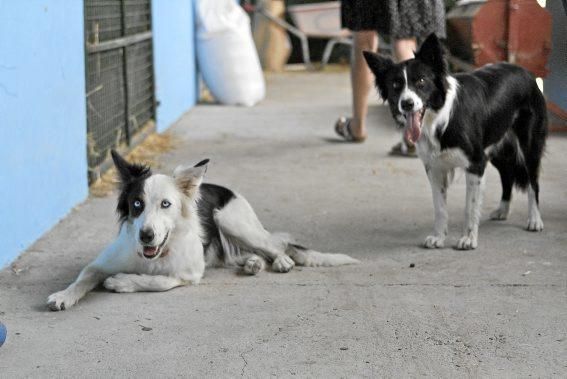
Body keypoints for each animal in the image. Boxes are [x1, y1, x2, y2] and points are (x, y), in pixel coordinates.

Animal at [48, 151, 360, 312]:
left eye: (166, 204)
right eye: (136, 204)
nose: (146, 236)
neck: (155, 256)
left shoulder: (189, 273)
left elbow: (158, 281)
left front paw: (122, 282)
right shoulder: (101, 262)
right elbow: (84, 277)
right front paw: (64, 295)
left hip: (231, 220)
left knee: (275, 246)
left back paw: (280, 260)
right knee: (248, 253)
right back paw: (253, 263)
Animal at [366, 34, 548, 251]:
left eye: (421, 81)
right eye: (395, 85)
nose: (407, 104)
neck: (438, 119)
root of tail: (526, 72)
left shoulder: (475, 164)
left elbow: (470, 207)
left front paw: (468, 239)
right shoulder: (435, 167)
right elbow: (439, 207)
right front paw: (438, 237)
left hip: (529, 146)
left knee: (533, 182)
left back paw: (535, 220)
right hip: (496, 148)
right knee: (508, 173)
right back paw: (503, 209)